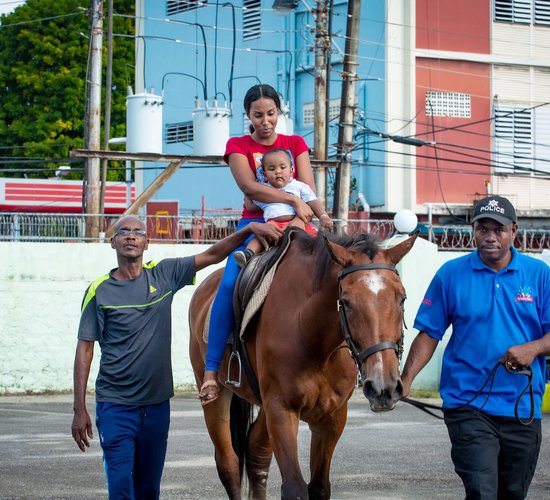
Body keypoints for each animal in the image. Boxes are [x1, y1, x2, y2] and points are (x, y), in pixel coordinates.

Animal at [190, 229, 418, 498]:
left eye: (402, 299)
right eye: (346, 302)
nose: (384, 387)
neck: (314, 337)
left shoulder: (332, 417)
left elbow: (319, 487)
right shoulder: (281, 410)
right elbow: (294, 487)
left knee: (256, 450)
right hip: (217, 397)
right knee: (229, 464)